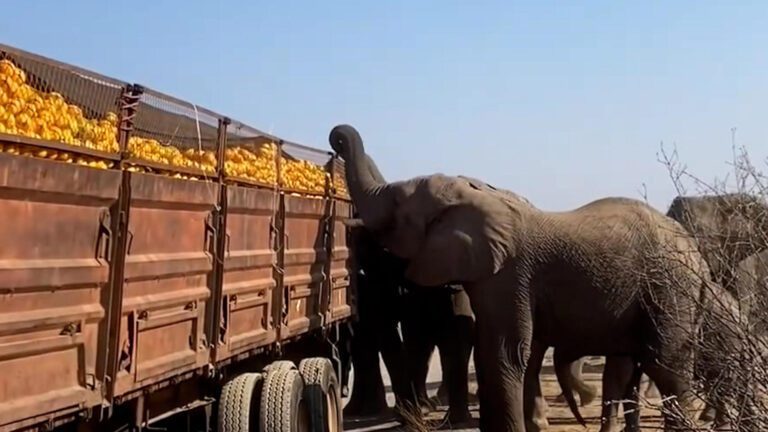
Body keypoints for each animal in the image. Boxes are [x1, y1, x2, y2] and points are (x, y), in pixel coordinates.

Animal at [328, 124, 720, 432]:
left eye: (396, 207)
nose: (336, 139)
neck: (476, 197)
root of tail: (698, 257)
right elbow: (493, 351)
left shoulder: (509, 273)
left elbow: (504, 351)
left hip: (669, 290)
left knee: (666, 365)